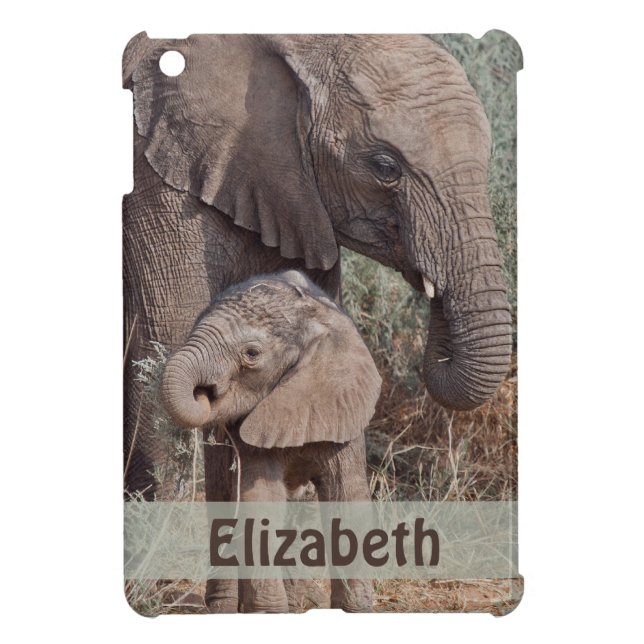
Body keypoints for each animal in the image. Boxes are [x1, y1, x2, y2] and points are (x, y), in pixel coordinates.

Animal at [160, 270, 381, 613]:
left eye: (252, 353)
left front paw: (355, 610)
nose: (204, 391)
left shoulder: (344, 411)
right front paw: (268, 612)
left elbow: (347, 496)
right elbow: (260, 498)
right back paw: (225, 608)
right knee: (224, 497)